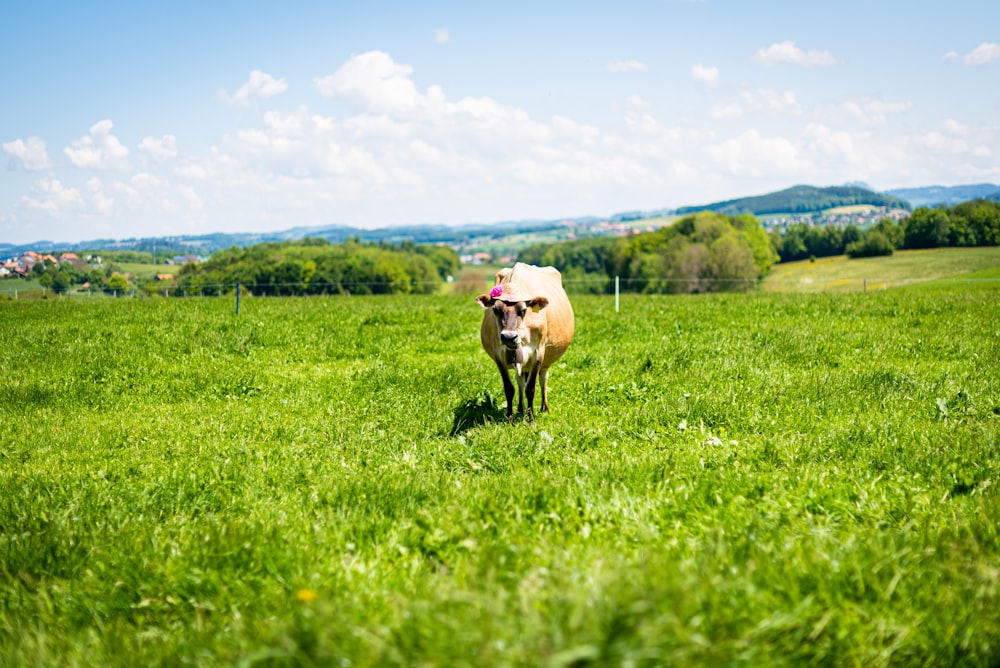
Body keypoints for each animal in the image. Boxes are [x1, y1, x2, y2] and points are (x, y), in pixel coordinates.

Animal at [478, 260, 576, 418]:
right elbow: (509, 388)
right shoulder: (499, 355)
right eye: (495, 310)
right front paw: (510, 416)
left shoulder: (538, 352)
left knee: (543, 379)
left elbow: (530, 388)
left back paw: (544, 408)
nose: (509, 336)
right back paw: (520, 408)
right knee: (520, 381)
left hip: (546, 360)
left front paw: (530, 418)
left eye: (523, 310)